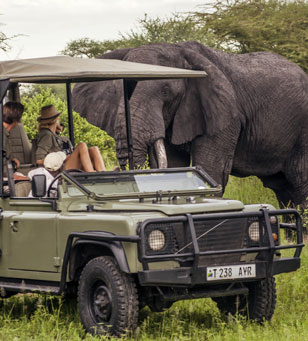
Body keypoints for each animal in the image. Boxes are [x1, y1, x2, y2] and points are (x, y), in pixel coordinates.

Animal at [72, 42, 308, 207]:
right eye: (121, 90)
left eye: (166, 91)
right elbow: (174, 166)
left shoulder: (223, 113)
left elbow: (211, 170)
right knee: (283, 187)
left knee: (299, 181)